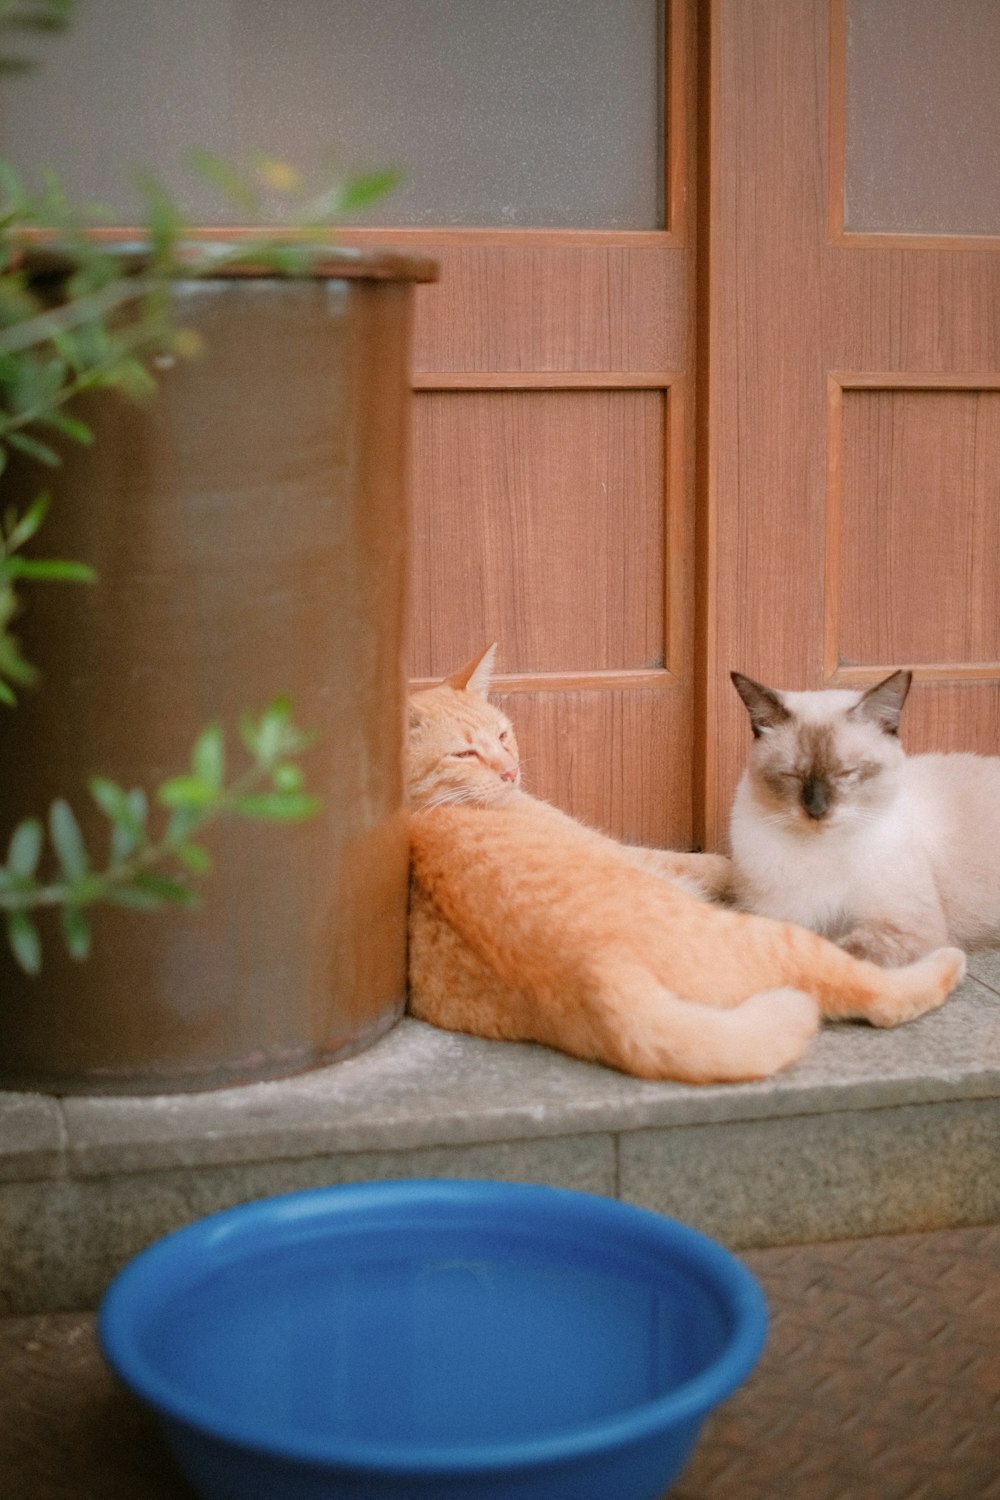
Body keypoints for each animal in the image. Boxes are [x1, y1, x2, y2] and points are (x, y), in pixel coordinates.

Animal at [401, 645, 965, 1080]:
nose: (512, 772)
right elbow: (712, 862)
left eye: (502, 735)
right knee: (878, 995)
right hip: (779, 937)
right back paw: (946, 964)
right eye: (464, 755)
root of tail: (594, 974)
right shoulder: (622, 848)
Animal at [728, 669, 1000, 960]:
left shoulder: (902, 925)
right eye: (792, 775)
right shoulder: (777, 915)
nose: (817, 811)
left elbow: (842, 953)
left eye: (846, 773)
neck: (823, 850)